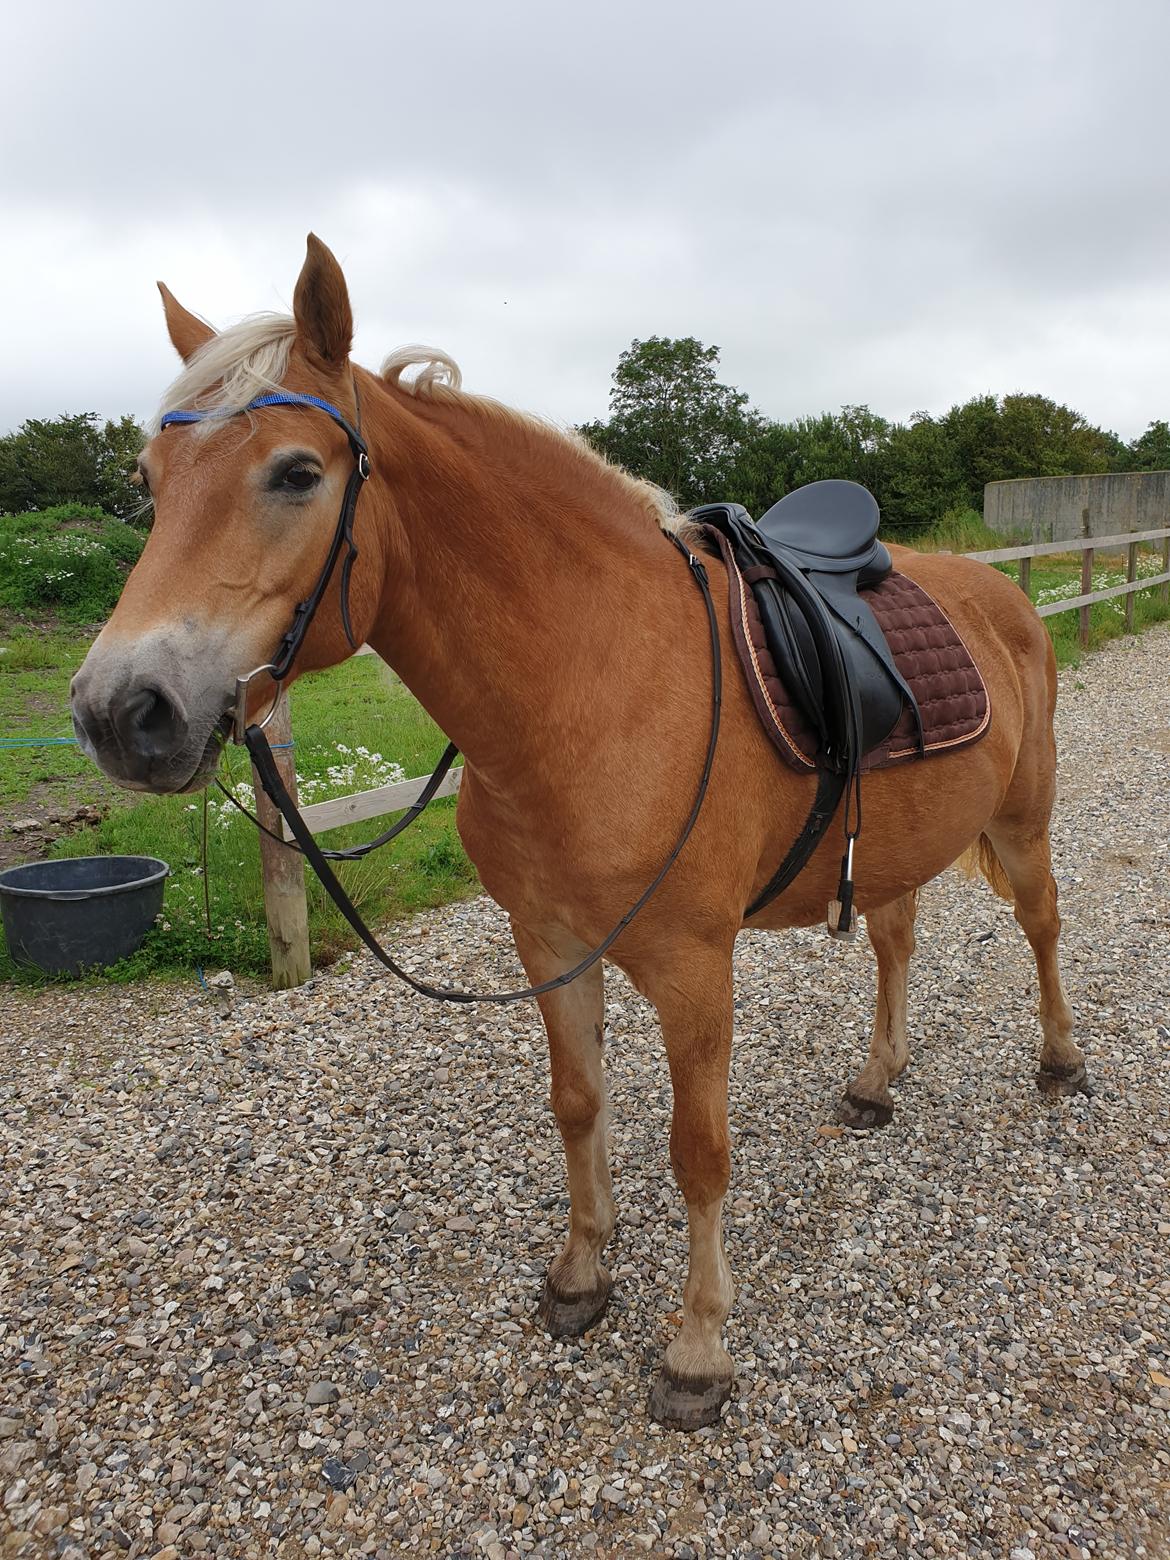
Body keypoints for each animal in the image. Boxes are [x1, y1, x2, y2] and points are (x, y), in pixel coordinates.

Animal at [73, 233, 1092, 1428]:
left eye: (294, 473)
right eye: (149, 484)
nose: (120, 711)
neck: (591, 686)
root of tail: (1000, 591)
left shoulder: (695, 966)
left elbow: (699, 1153)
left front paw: (697, 1349)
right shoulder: (550, 942)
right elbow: (578, 1106)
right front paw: (581, 1276)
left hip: (1023, 823)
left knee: (1044, 927)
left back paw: (1061, 1063)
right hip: (891, 845)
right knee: (894, 942)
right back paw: (876, 1082)